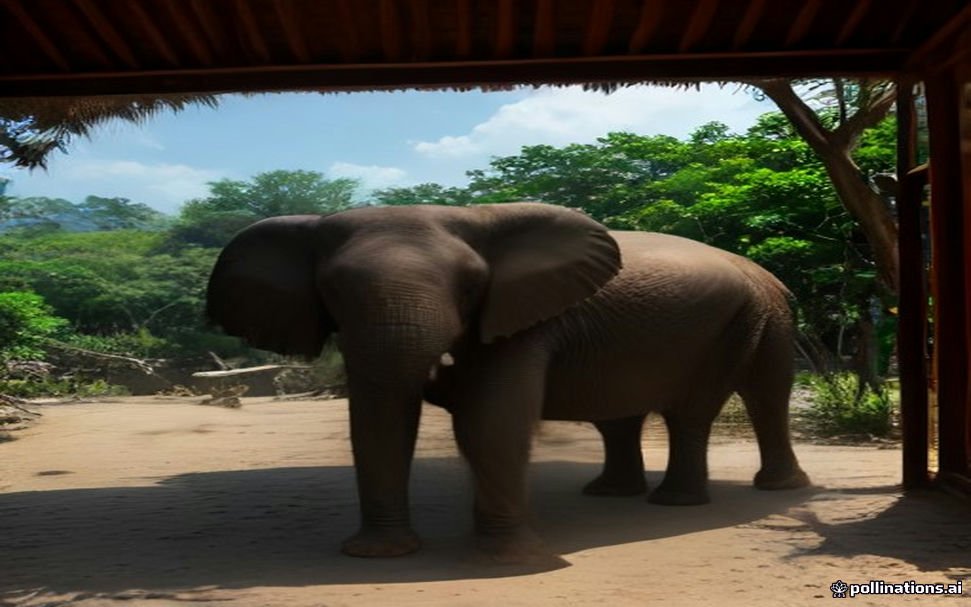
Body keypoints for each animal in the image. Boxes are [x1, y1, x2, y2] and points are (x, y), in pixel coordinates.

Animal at [206, 202, 810, 561]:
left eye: (472, 285)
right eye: (329, 291)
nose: (442, 365)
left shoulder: (525, 316)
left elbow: (491, 420)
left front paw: (508, 558)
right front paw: (384, 554)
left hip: (756, 317)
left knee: (736, 401)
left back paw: (697, 503)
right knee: (622, 415)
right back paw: (612, 495)